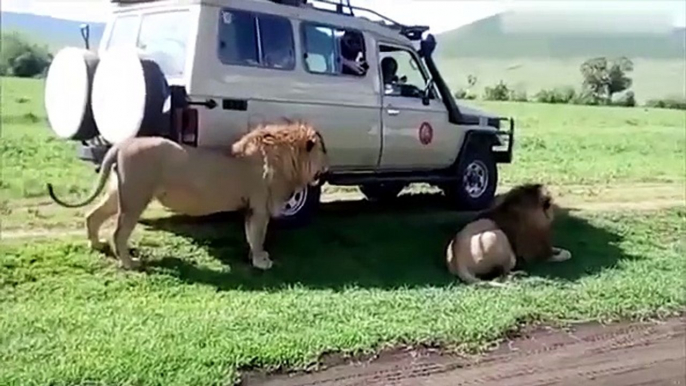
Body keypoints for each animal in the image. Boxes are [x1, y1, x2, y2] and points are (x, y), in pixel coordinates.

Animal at [46, 120, 330, 272]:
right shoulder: (260, 206)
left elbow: (251, 236)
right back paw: (130, 263)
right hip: (136, 196)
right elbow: (258, 236)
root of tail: (121, 144)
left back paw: (96, 245)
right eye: (324, 152)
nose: (327, 169)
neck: (288, 159)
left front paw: (256, 258)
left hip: (119, 193)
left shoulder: (251, 208)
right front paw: (262, 261)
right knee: (119, 232)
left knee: (92, 215)